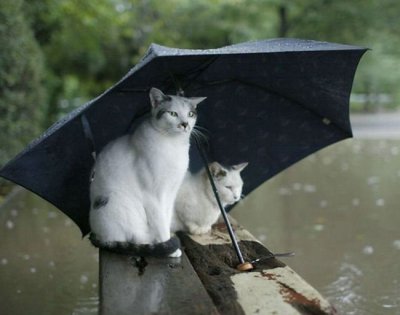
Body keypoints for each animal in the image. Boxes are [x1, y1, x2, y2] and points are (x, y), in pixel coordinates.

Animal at [88, 87, 206, 258]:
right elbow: (161, 224)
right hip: (121, 203)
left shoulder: (171, 193)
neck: (174, 146)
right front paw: (170, 248)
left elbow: (166, 218)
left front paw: (168, 240)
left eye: (190, 114)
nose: (185, 124)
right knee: (133, 238)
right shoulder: (153, 196)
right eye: (173, 114)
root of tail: (97, 235)